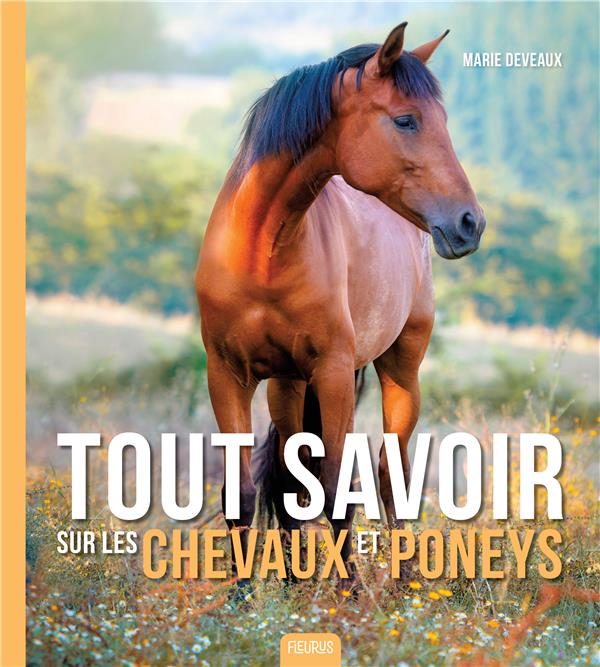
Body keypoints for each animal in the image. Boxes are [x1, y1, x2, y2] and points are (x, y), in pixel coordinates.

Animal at [196, 22, 486, 590]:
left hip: (400, 371)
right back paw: (293, 580)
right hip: (287, 387)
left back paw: (403, 583)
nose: (470, 222)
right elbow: (242, 495)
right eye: (405, 119)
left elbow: (336, 493)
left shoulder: (332, 373)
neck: (263, 253)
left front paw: (346, 594)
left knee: (390, 476)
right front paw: (244, 597)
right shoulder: (228, 375)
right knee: (294, 481)